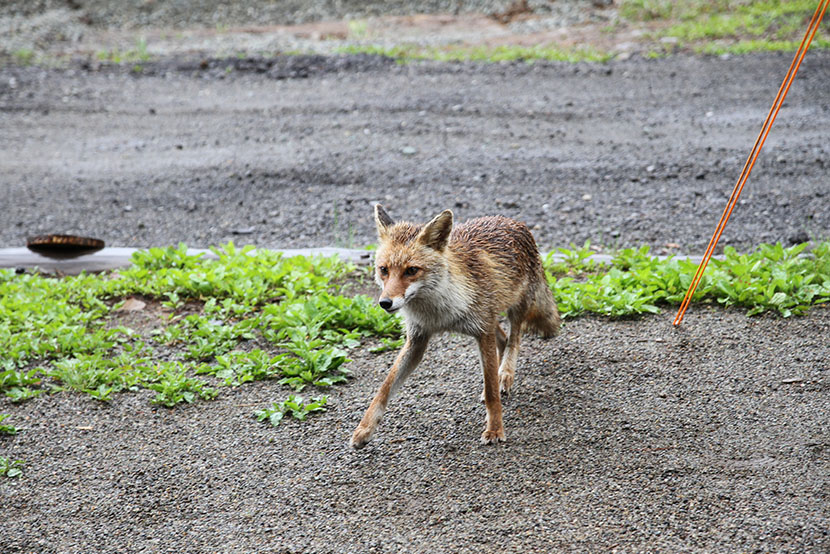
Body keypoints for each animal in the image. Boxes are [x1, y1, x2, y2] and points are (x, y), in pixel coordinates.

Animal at [348, 204, 564, 448]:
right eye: (383, 270)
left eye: (411, 270)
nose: (385, 303)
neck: (440, 314)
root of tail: (512, 221)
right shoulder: (417, 338)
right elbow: (384, 388)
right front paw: (364, 430)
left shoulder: (482, 331)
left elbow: (492, 392)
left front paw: (495, 429)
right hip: (491, 318)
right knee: (503, 339)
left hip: (516, 307)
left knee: (514, 340)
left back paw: (505, 374)